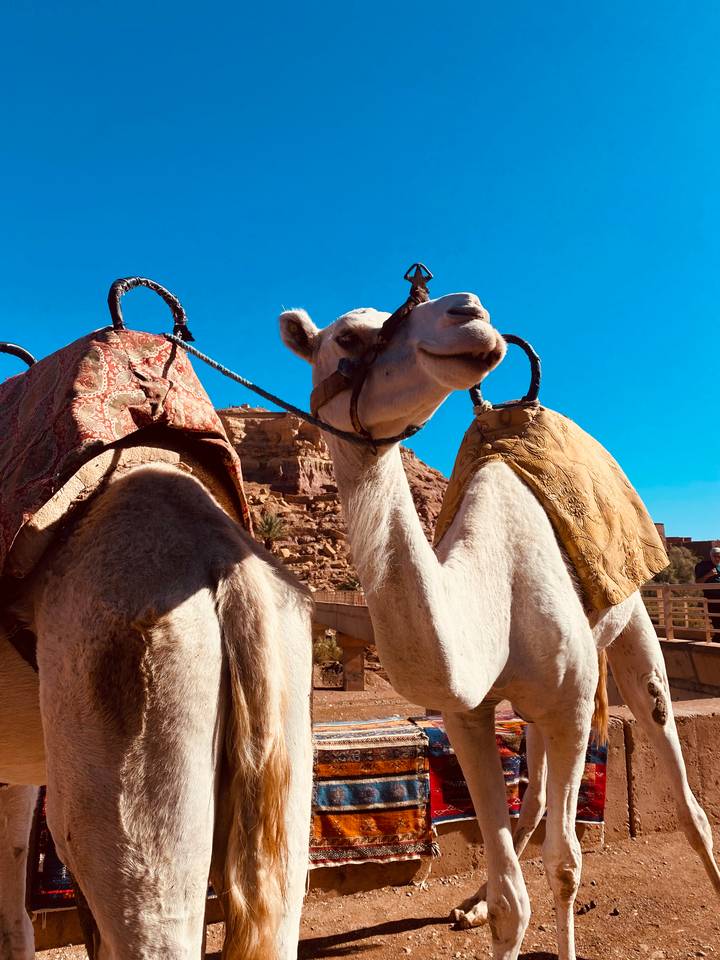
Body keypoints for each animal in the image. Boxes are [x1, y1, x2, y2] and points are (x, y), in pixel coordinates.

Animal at [279, 290, 720, 960]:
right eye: (349, 338)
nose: (467, 311)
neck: (492, 592)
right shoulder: (469, 714)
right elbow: (513, 898)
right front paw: (488, 905)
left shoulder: (571, 705)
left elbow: (565, 864)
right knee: (532, 799)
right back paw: (469, 903)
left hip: (631, 625)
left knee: (681, 785)